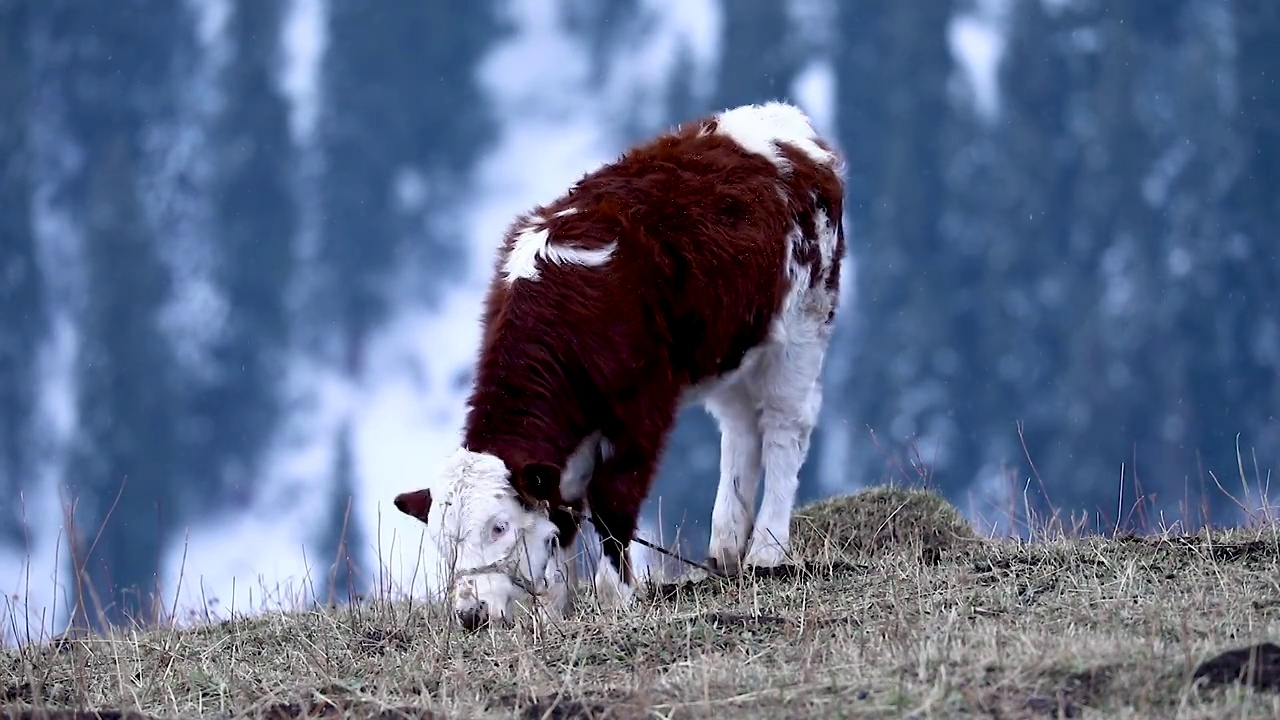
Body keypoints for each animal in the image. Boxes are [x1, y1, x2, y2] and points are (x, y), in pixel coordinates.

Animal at [394, 101, 844, 627]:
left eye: (499, 526)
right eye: (442, 540)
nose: (471, 614)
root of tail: (782, 121)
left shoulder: (639, 410)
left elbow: (611, 500)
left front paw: (615, 596)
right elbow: (562, 509)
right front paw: (557, 605)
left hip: (802, 323)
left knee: (784, 427)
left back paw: (766, 551)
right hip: (731, 348)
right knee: (740, 429)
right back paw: (727, 547)